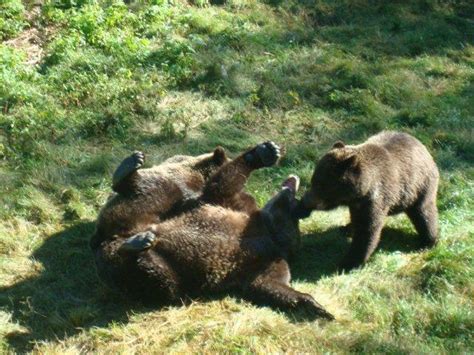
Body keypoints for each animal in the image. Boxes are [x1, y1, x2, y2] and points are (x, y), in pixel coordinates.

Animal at [296, 132, 440, 272]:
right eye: (313, 180)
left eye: (322, 185)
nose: (307, 201)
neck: (360, 192)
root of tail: (423, 147)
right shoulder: (354, 202)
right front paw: (301, 208)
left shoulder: (375, 198)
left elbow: (367, 228)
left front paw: (347, 263)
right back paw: (347, 227)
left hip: (419, 186)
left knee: (424, 213)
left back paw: (429, 241)